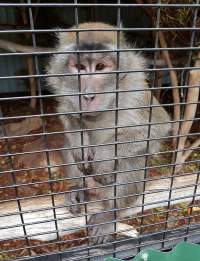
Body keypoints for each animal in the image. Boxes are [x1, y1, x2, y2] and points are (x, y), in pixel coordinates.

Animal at [46, 22, 170, 244]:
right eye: (80, 68)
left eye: (100, 68)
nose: (87, 96)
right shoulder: (66, 94)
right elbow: (68, 115)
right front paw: (80, 143)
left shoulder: (135, 90)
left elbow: (157, 128)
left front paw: (104, 157)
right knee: (69, 148)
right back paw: (78, 189)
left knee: (133, 157)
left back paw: (110, 212)